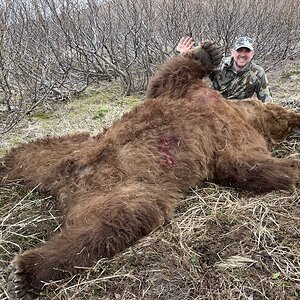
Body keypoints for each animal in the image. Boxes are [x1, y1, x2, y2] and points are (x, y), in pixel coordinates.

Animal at [1, 41, 300, 298]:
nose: (292, 117)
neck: (242, 114)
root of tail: (67, 186)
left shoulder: (232, 141)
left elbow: (246, 165)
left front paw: (292, 164)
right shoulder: (192, 97)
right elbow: (167, 80)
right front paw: (208, 52)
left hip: (121, 191)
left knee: (106, 227)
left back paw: (25, 274)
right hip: (75, 147)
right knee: (29, 154)